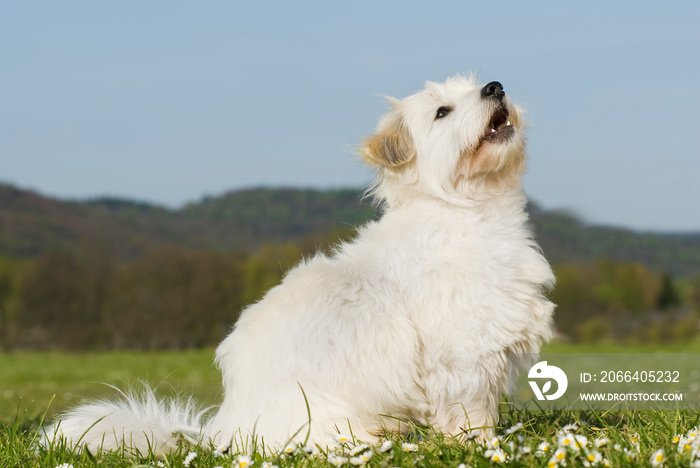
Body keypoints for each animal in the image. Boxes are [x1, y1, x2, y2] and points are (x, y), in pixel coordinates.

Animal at [46, 75, 556, 456]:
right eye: (442, 112)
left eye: (478, 85)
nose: (494, 87)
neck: (466, 211)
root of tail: (222, 432)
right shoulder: (461, 358)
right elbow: (468, 414)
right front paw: (477, 447)